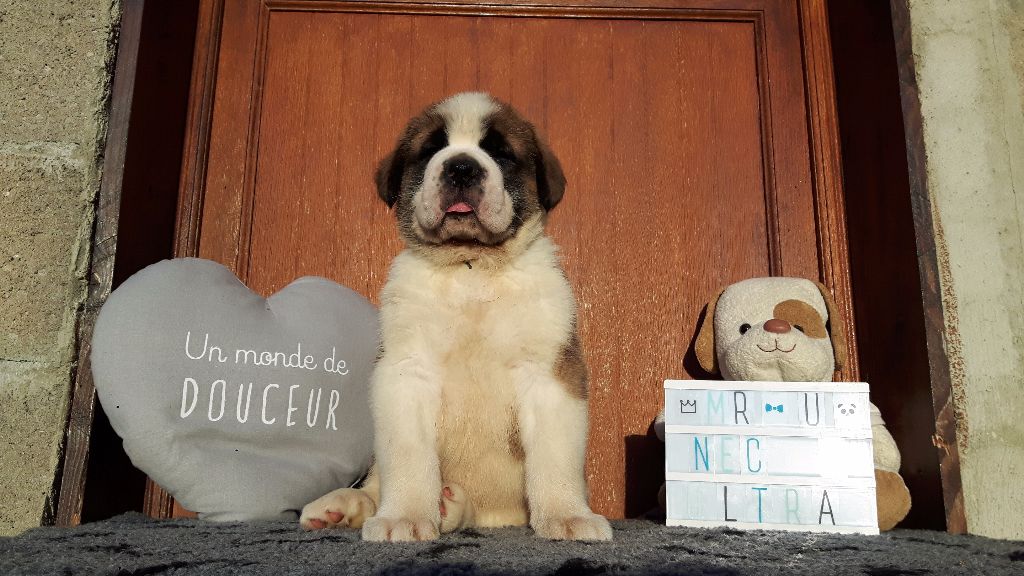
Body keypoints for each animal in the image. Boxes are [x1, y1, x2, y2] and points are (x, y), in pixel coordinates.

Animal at [300, 92, 612, 542]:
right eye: (432, 149)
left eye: (500, 152)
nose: (461, 166)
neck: (472, 268)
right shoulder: (406, 372)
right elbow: (409, 457)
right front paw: (405, 517)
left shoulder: (548, 373)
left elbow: (554, 456)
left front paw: (567, 515)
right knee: (377, 480)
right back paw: (348, 505)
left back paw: (451, 507)